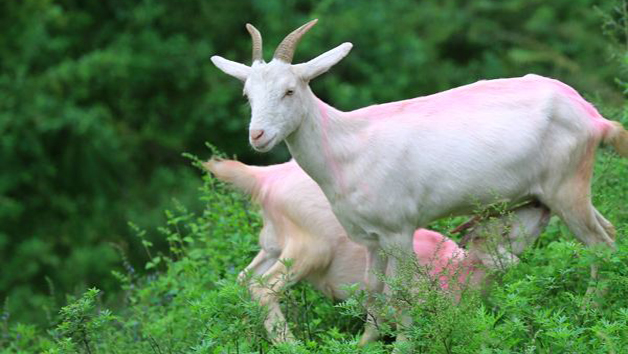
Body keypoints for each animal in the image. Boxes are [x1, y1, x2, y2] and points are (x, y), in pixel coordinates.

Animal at [205, 158, 548, 342]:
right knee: (263, 289)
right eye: (504, 228)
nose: (538, 204)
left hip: (273, 245)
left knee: (243, 281)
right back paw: (289, 343)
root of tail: (265, 178)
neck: (459, 271)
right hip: (308, 248)